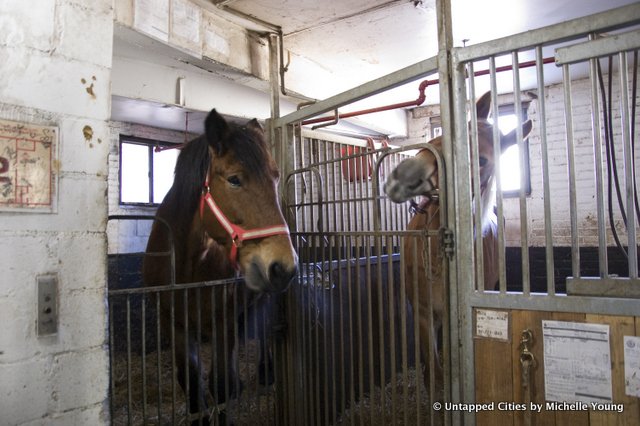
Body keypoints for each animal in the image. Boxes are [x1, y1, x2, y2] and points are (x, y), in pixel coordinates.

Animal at [142, 109, 298, 422]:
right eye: (234, 179)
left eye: (275, 177)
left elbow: (221, 385)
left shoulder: (222, 323)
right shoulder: (174, 324)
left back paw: (266, 373)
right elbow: (191, 383)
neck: (188, 264)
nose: (283, 266)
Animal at [382, 91, 532, 414]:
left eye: (483, 160)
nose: (404, 175)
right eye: (446, 134)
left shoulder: (454, 318)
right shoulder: (423, 313)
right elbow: (434, 373)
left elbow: (450, 372)